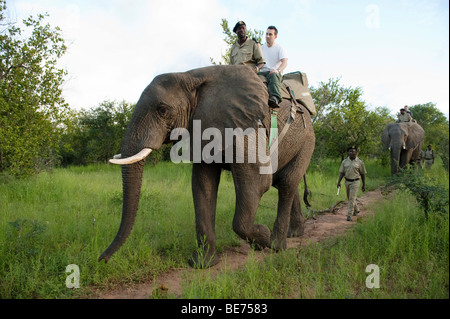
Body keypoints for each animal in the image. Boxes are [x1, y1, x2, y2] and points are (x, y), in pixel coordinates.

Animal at [99, 66, 316, 268]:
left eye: (162, 110)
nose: (102, 259)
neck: (191, 76)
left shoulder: (248, 128)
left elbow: (256, 184)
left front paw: (262, 237)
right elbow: (203, 185)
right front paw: (202, 264)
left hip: (307, 139)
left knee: (286, 182)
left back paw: (277, 245)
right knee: (285, 182)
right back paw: (294, 234)